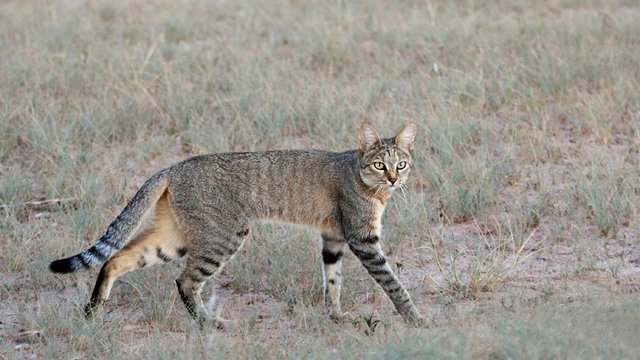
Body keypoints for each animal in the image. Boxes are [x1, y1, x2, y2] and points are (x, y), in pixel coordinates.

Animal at [50, 123, 428, 330]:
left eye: (401, 164)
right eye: (379, 164)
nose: (394, 179)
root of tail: (175, 166)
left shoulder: (333, 238)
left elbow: (332, 281)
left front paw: (335, 316)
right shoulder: (363, 239)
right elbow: (393, 283)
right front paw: (415, 318)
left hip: (172, 239)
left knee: (114, 260)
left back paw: (93, 311)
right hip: (223, 237)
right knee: (185, 281)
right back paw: (207, 323)